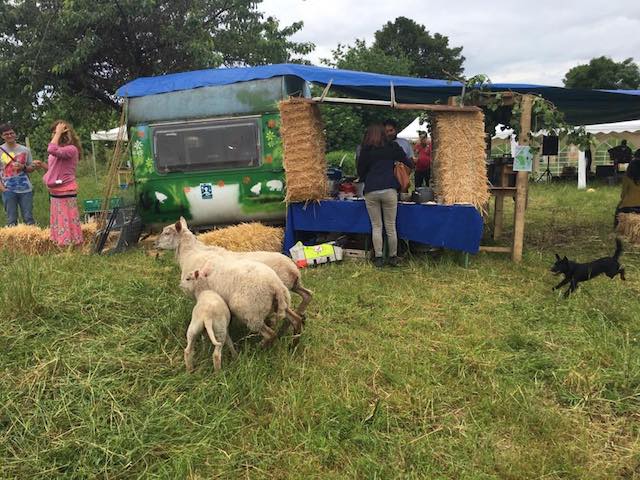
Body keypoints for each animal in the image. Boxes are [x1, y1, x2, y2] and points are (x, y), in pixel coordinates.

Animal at [156, 218, 314, 316]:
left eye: (167, 233)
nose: (155, 243)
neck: (190, 252)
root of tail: (293, 269)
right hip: (294, 287)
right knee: (307, 294)